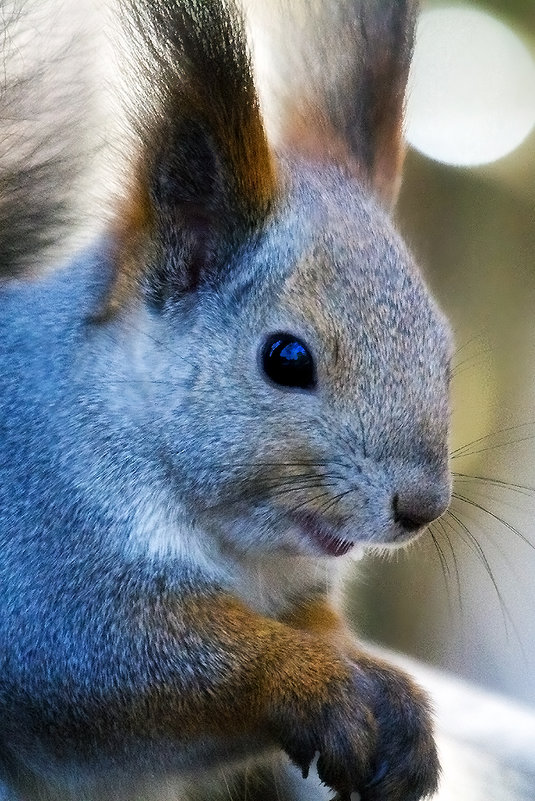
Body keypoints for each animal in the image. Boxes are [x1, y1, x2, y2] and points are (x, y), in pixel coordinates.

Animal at [0, 1, 454, 800]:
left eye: (445, 353)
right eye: (286, 359)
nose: (420, 507)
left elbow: (318, 625)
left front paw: (389, 691)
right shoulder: (40, 559)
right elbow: (115, 660)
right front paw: (308, 679)